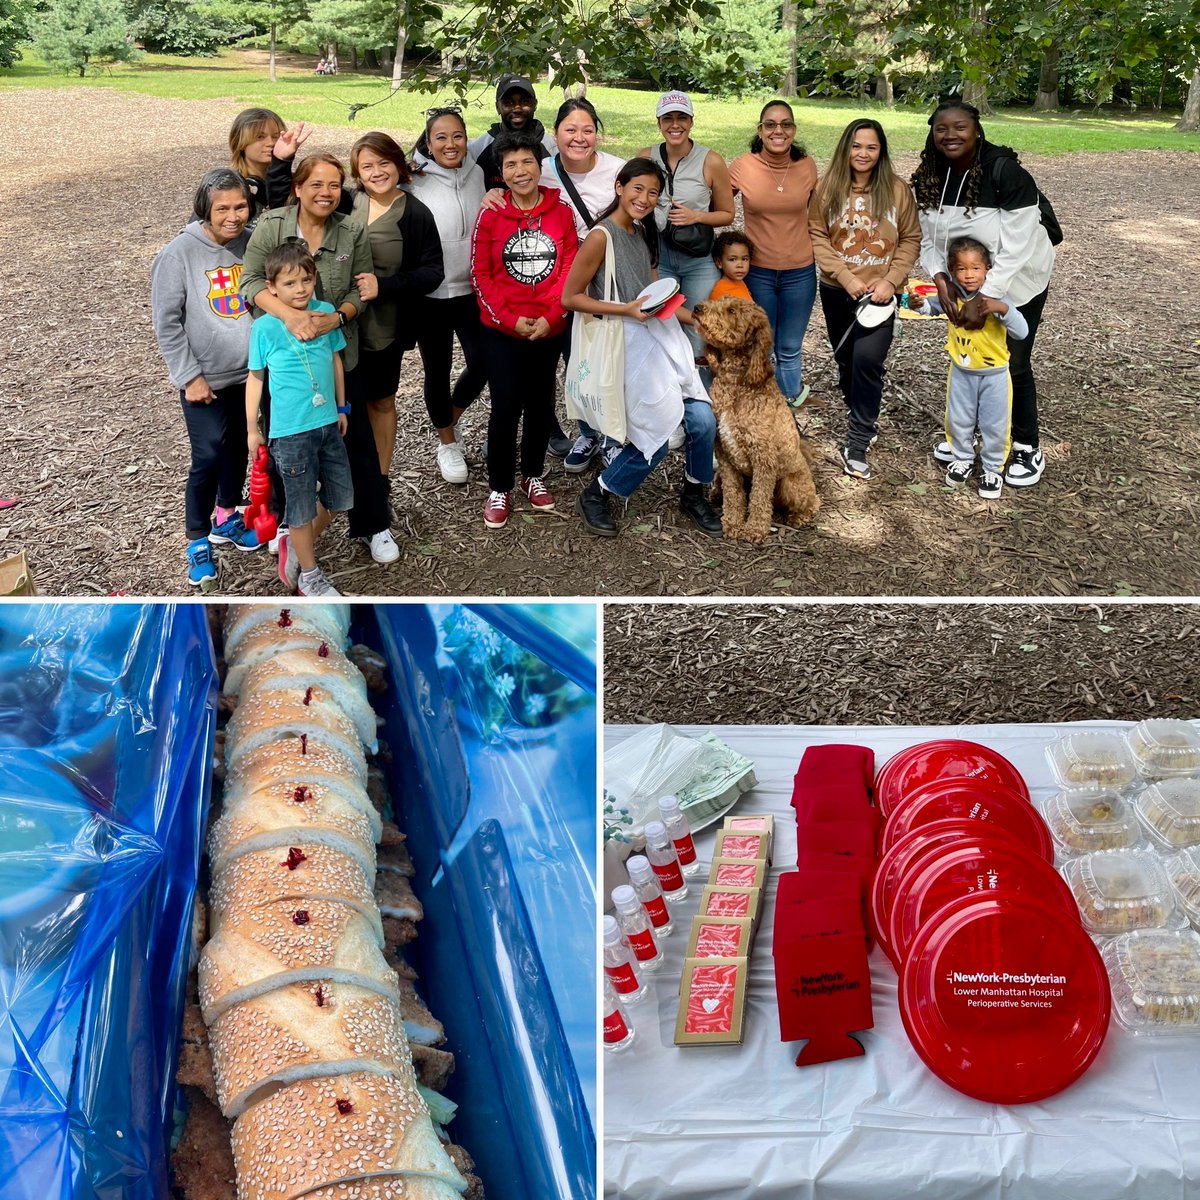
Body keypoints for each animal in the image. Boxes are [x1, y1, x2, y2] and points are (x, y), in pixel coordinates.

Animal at [691, 295, 820, 544]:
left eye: (732, 311)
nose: (697, 308)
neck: (735, 383)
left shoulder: (764, 458)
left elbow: (759, 498)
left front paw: (754, 530)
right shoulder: (724, 454)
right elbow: (734, 494)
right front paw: (732, 523)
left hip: (790, 484)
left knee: (812, 502)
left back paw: (798, 518)